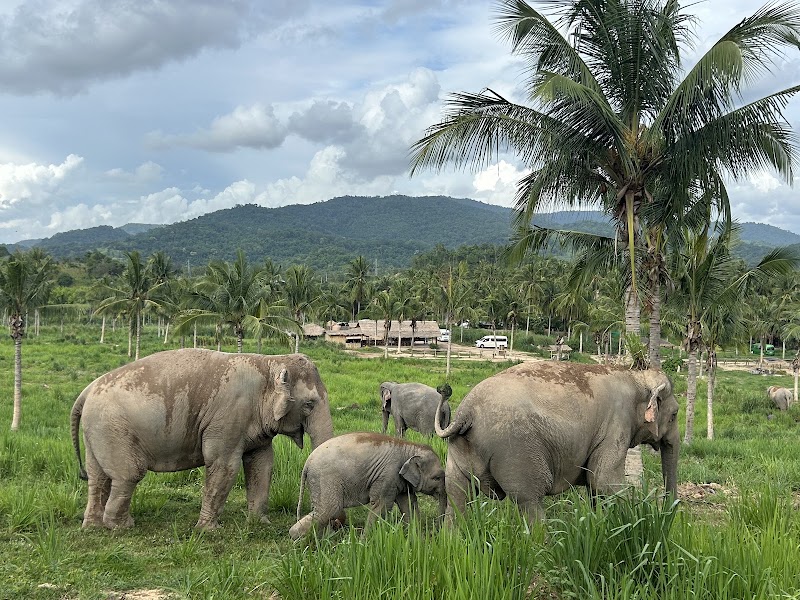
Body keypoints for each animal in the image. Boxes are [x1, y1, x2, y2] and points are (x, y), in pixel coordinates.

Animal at [70, 348, 333, 529]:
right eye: (309, 404)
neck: (268, 362)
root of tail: (85, 391)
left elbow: (263, 464)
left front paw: (260, 524)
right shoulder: (229, 416)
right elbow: (223, 465)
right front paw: (208, 530)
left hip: (96, 431)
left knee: (97, 476)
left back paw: (93, 527)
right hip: (113, 428)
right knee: (129, 474)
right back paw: (122, 526)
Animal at [289, 432, 446, 539]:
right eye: (437, 477)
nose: (436, 532)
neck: (410, 447)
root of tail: (307, 462)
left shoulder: (399, 479)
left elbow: (408, 503)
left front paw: (418, 539)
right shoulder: (388, 475)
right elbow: (382, 505)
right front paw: (365, 542)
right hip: (325, 478)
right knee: (328, 510)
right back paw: (296, 539)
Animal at [434, 361, 679, 523]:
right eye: (675, 414)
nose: (667, 512)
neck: (637, 376)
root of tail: (466, 412)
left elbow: (594, 485)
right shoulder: (616, 426)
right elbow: (604, 481)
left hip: (458, 451)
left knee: (457, 496)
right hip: (516, 451)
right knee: (530, 500)